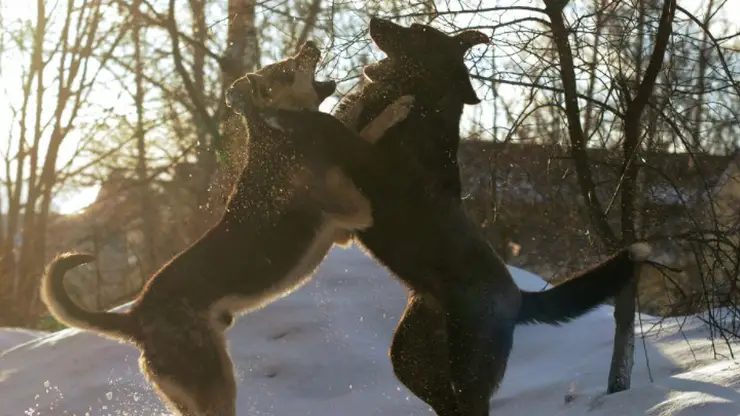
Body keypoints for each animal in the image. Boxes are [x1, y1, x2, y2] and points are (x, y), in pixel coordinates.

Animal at [40, 41, 416, 416]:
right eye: (286, 68)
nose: (309, 44)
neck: (274, 132)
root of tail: (135, 318)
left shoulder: (341, 227)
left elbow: (351, 122)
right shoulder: (353, 207)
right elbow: (362, 132)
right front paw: (395, 108)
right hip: (214, 382)